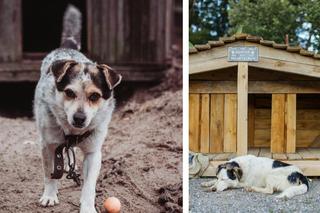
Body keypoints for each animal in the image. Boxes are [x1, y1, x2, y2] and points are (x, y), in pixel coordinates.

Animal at [33, 5, 121, 213]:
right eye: (69, 93)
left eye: (95, 96)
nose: (79, 118)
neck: (72, 132)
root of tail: (67, 48)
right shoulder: (47, 145)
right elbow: (49, 174)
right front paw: (49, 196)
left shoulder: (93, 153)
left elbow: (89, 186)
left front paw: (88, 207)